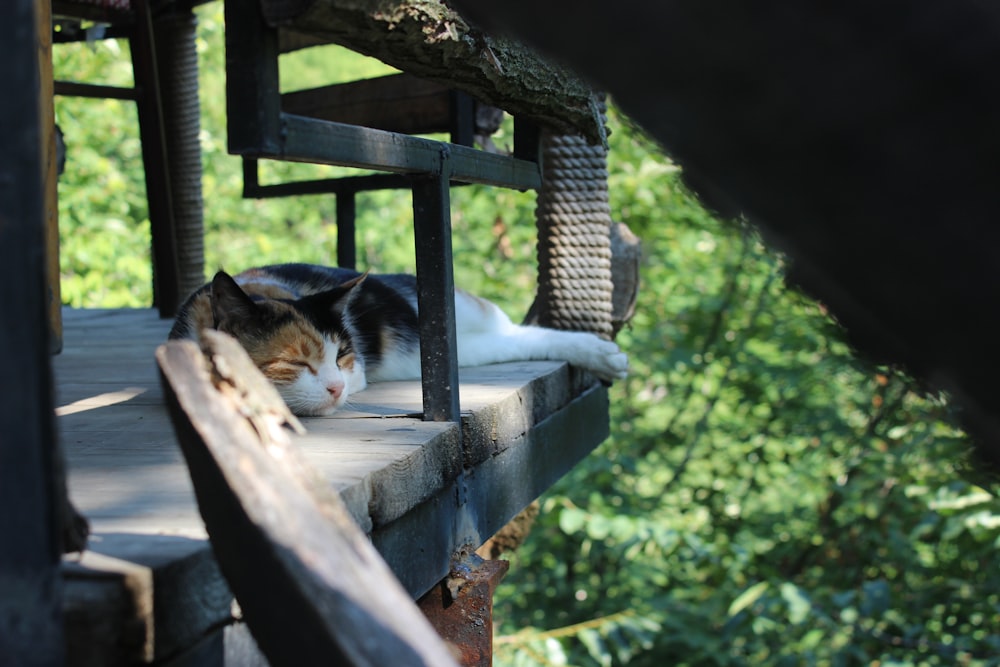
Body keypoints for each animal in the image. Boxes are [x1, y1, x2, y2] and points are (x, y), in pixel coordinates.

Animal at [170, 264, 624, 414]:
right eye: (297, 363)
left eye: (343, 357)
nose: (336, 388)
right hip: (468, 349)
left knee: (519, 334)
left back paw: (605, 355)